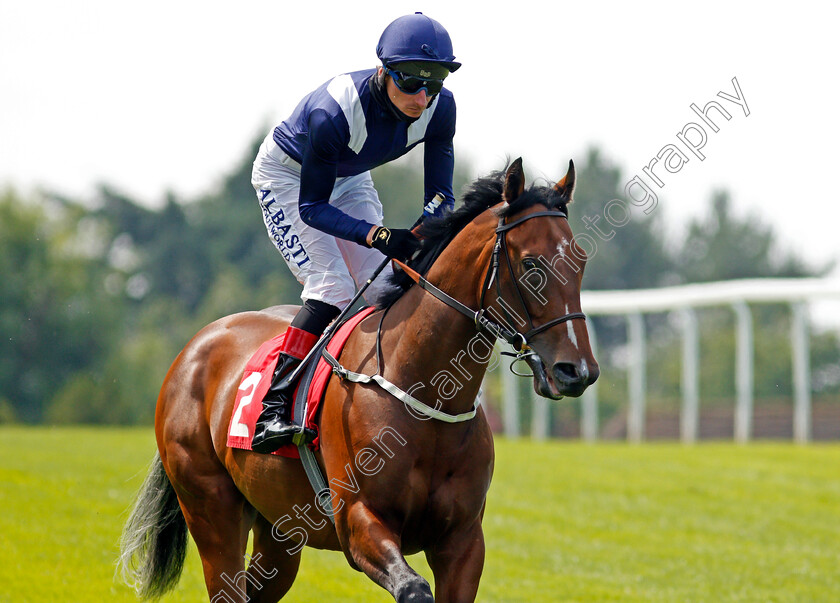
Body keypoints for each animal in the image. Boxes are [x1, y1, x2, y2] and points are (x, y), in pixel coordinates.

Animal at [121, 158, 600, 600]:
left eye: (581, 262)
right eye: (531, 265)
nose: (577, 371)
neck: (427, 394)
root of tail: (195, 346)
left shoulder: (463, 541)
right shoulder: (358, 522)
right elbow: (413, 588)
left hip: (278, 530)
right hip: (211, 510)